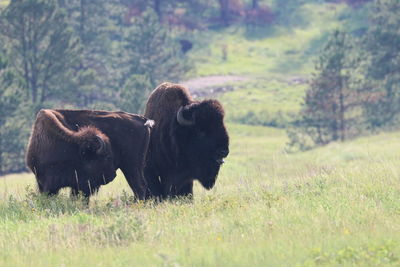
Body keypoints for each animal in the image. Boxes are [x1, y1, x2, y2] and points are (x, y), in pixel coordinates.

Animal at [25, 109, 153, 201]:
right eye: (106, 157)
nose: (112, 175)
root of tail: (142, 120)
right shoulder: (44, 183)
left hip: (132, 166)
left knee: (139, 186)